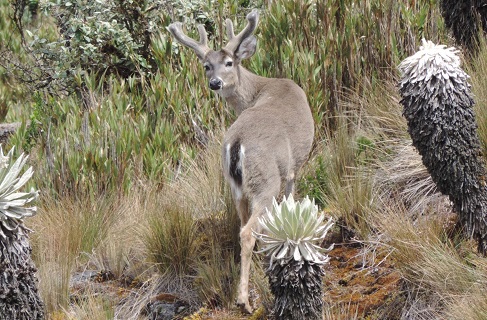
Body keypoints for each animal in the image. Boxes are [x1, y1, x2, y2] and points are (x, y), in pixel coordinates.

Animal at [169, 9, 316, 312]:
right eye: (206, 66)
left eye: (226, 62)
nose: (215, 83)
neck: (261, 88)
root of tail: (237, 144)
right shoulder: (293, 167)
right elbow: (291, 198)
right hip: (266, 180)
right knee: (248, 231)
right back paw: (243, 300)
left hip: (235, 185)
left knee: (241, 225)